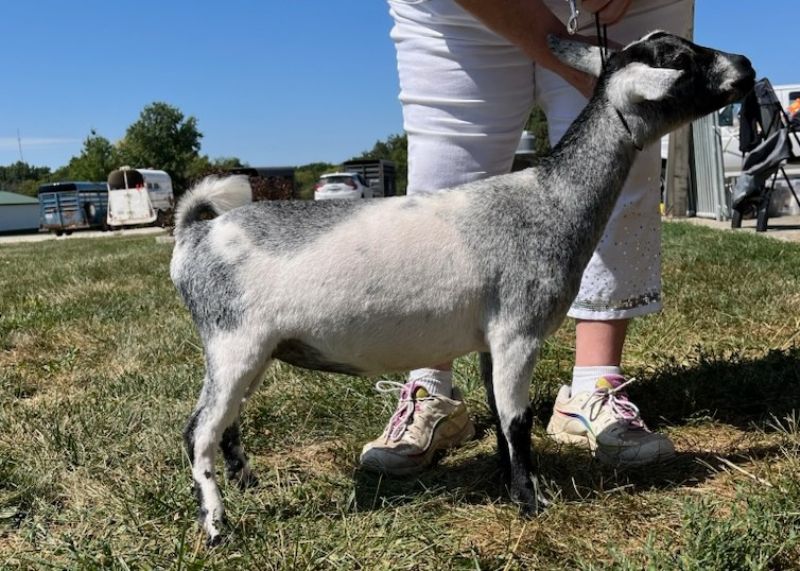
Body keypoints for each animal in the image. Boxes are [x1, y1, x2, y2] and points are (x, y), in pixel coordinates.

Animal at [171, 32, 755, 544]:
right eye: (678, 57)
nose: (746, 65)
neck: (550, 201)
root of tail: (194, 233)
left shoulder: (491, 341)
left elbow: (500, 416)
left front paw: (508, 484)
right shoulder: (518, 330)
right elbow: (518, 421)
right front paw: (531, 502)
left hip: (256, 350)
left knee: (227, 423)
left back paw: (247, 482)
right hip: (232, 343)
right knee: (198, 431)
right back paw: (218, 528)